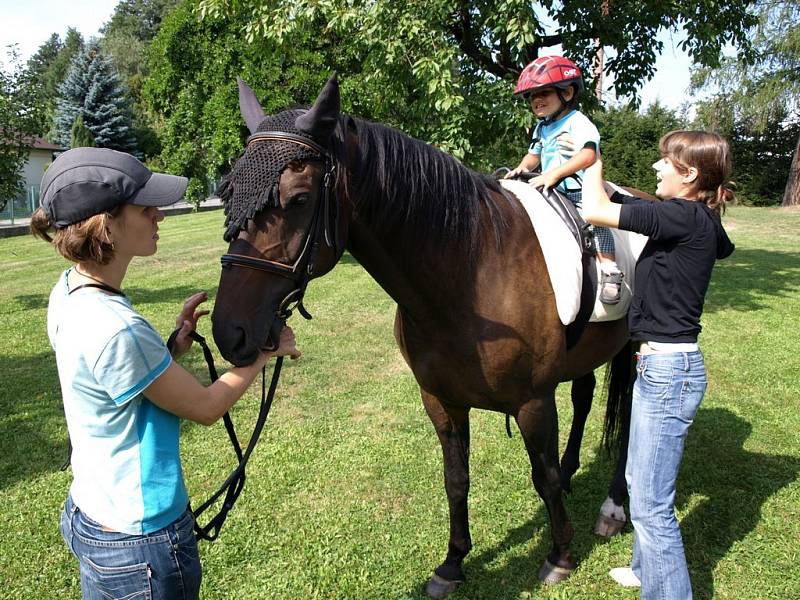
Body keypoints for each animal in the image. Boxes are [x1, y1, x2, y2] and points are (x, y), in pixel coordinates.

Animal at [214, 75, 636, 596]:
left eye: (298, 200)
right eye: (230, 195)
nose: (228, 331)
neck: (472, 272)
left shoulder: (533, 402)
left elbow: (544, 477)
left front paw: (559, 555)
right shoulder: (441, 401)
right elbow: (456, 480)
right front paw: (453, 562)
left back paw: (614, 505)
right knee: (584, 395)